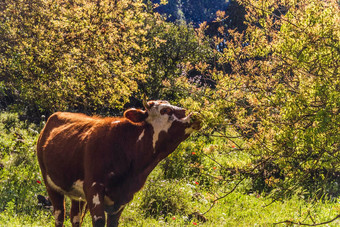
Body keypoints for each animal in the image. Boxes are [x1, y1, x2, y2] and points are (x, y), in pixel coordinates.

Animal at [36, 100, 202, 227]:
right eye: (165, 110)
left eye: (181, 109)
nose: (195, 115)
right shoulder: (93, 188)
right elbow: (99, 222)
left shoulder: (124, 196)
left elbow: (113, 223)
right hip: (50, 185)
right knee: (59, 216)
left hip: (76, 195)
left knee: (75, 218)